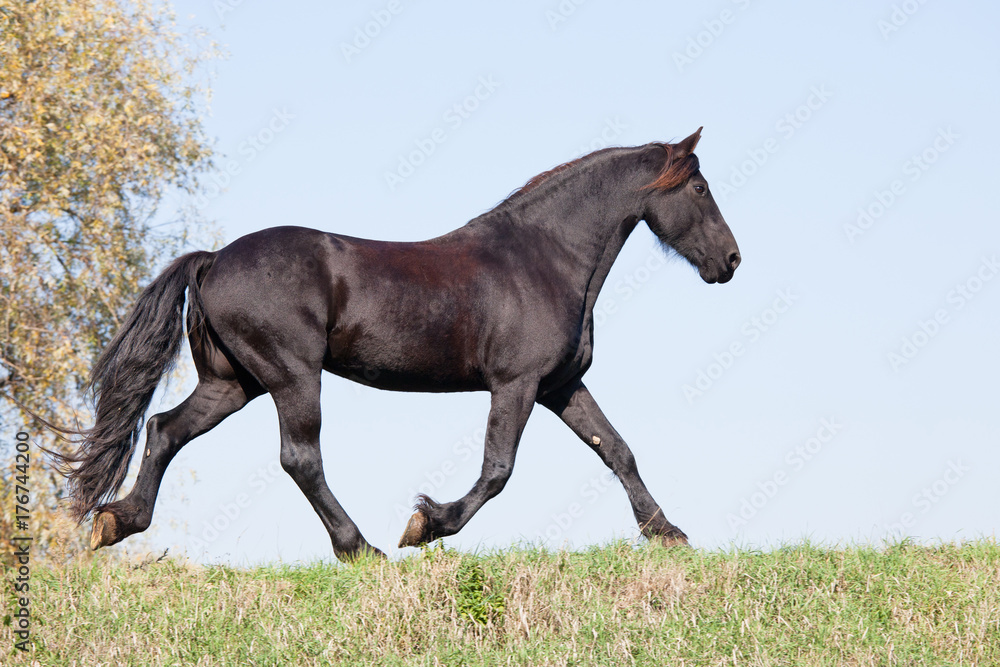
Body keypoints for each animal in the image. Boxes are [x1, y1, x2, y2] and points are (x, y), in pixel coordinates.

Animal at [56, 128, 744, 560]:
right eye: (700, 189)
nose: (731, 261)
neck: (544, 258)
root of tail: (212, 261)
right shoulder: (516, 384)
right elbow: (498, 469)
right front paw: (425, 524)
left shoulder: (560, 386)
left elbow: (618, 450)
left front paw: (667, 532)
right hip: (291, 376)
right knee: (299, 458)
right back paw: (360, 548)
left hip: (233, 383)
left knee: (165, 429)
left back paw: (116, 522)